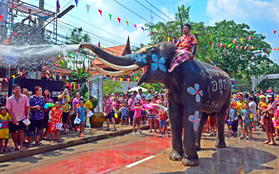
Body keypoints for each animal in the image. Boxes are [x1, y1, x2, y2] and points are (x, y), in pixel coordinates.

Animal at [80, 39, 232, 166]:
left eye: (152, 50)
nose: (81, 45)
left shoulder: (194, 85)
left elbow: (190, 114)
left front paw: (189, 163)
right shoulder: (173, 92)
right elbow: (174, 114)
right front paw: (174, 158)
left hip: (229, 93)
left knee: (219, 116)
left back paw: (219, 146)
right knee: (203, 117)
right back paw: (197, 147)